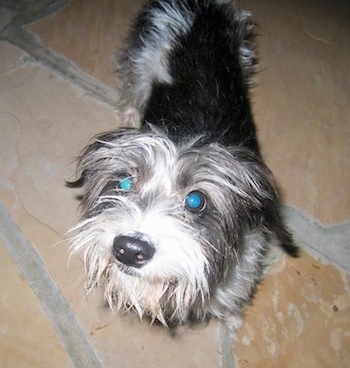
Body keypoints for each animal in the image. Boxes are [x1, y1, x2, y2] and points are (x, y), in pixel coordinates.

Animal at [67, 0, 296, 332]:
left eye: (196, 200)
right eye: (124, 182)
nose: (129, 249)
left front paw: (233, 320)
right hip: (143, 55)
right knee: (133, 84)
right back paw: (131, 112)